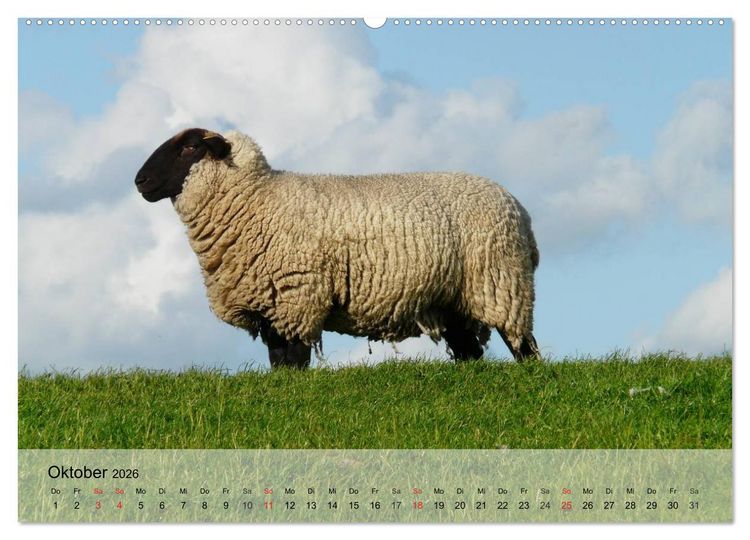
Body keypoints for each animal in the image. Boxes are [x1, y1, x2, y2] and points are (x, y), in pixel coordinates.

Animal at [135, 128, 541, 369]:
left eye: (190, 146)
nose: (140, 181)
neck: (255, 200)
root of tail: (520, 209)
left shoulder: (296, 298)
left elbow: (293, 359)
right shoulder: (271, 306)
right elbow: (278, 361)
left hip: (502, 283)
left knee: (522, 343)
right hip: (454, 298)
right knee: (469, 352)